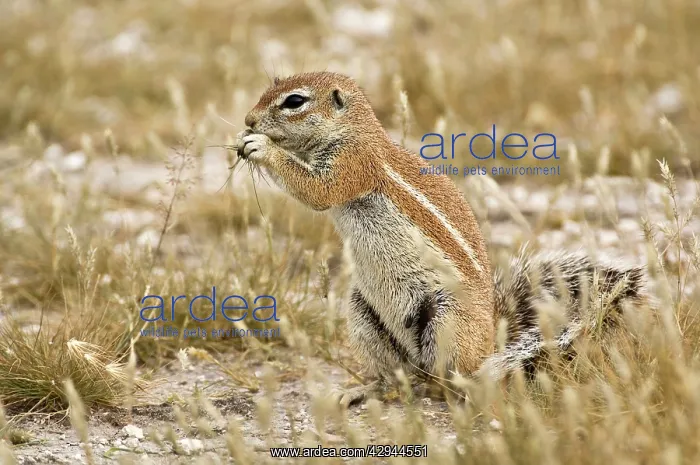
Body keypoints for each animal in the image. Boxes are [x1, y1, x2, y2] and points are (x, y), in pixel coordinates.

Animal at [234, 71, 647, 407]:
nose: (248, 120)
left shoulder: (353, 164)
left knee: (453, 376)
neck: (352, 131)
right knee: (399, 375)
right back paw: (365, 390)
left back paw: (459, 390)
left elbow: (317, 191)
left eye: (294, 101)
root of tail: (491, 341)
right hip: (362, 312)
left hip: (446, 319)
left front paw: (261, 147)